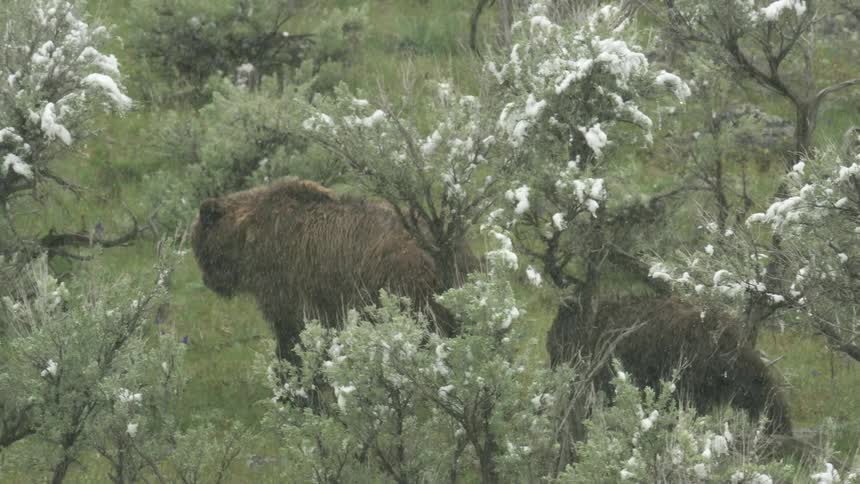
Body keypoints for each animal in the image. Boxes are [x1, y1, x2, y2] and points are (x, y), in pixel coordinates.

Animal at [190, 178, 477, 363]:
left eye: (197, 247)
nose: (207, 281)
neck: (246, 238)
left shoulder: (283, 280)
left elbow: (290, 332)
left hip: (399, 284)